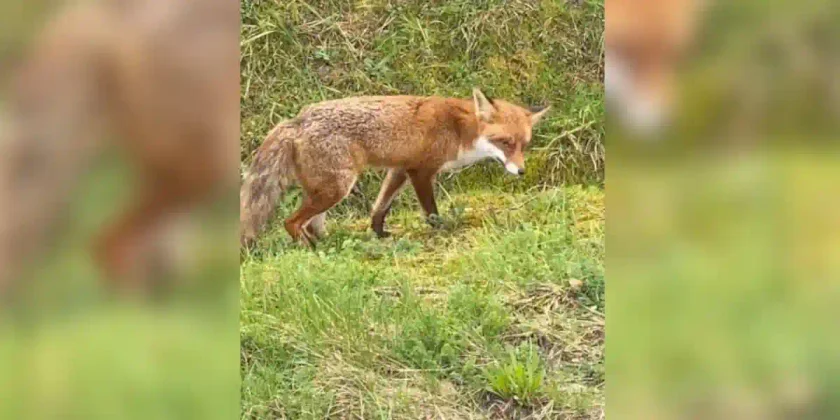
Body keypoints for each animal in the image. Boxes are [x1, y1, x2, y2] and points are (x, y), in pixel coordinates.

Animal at [240, 89, 550, 247]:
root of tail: (297, 119)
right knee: (290, 222)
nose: (521, 172)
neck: (459, 130)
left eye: (524, 145)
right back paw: (309, 249)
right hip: (336, 189)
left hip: (324, 190)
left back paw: (330, 243)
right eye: (506, 143)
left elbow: (380, 207)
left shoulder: (399, 169)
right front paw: (443, 230)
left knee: (311, 224)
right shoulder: (421, 171)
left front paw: (378, 234)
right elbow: (431, 212)